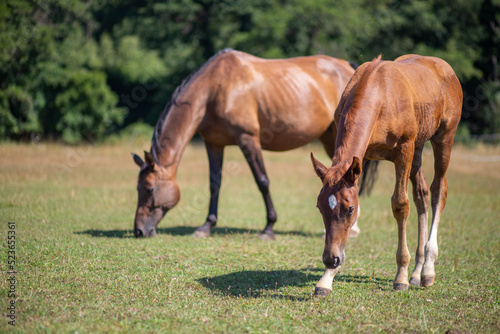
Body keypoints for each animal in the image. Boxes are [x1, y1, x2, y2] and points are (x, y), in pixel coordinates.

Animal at [131, 48, 376, 239]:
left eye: (149, 188)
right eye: (137, 188)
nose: (139, 231)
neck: (216, 87)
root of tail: (351, 68)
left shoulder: (248, 139)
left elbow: (262, 181)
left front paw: (269, 228)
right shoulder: (213, 143)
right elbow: (214, 183)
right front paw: (206, 226)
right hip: (328, 137)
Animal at [310, 54, 462, 298]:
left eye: (349, 209)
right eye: (320, 207)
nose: (330, 259)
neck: (380, 94)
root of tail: (444, 66)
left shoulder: (404, 150)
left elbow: (400, 205)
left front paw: (400, 277)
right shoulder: (360, 158)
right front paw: (326, 279)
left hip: (443, 138)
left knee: (439, 190)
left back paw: (428, 270)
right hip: (419, 147)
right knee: (422, 194)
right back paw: (417, 272)